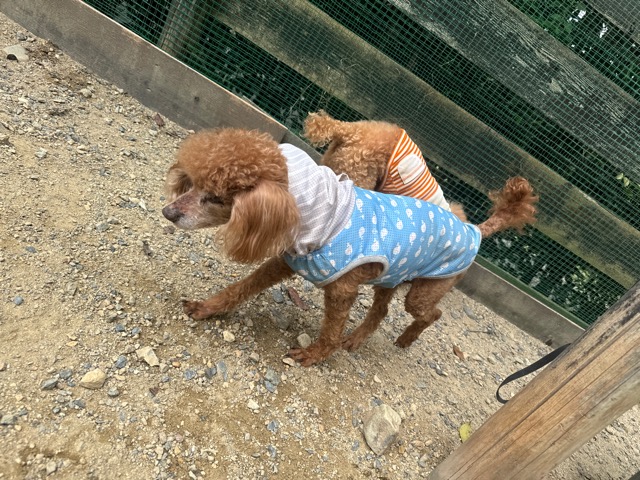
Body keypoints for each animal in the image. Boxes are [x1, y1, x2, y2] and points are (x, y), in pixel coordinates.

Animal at [162, 128, 538, 366]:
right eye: (193, 184)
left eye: (216, 198)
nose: (169, 212)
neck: (314, 214)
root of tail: (472, 229)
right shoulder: (285, 262)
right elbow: (240, 288)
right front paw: (206, 308)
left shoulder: (342, 290)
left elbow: (330, 329)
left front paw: (314, 355)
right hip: (391, 277)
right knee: (381, 311)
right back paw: (357, 339)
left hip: (426, 289)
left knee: (431, 313)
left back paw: (406, 338)